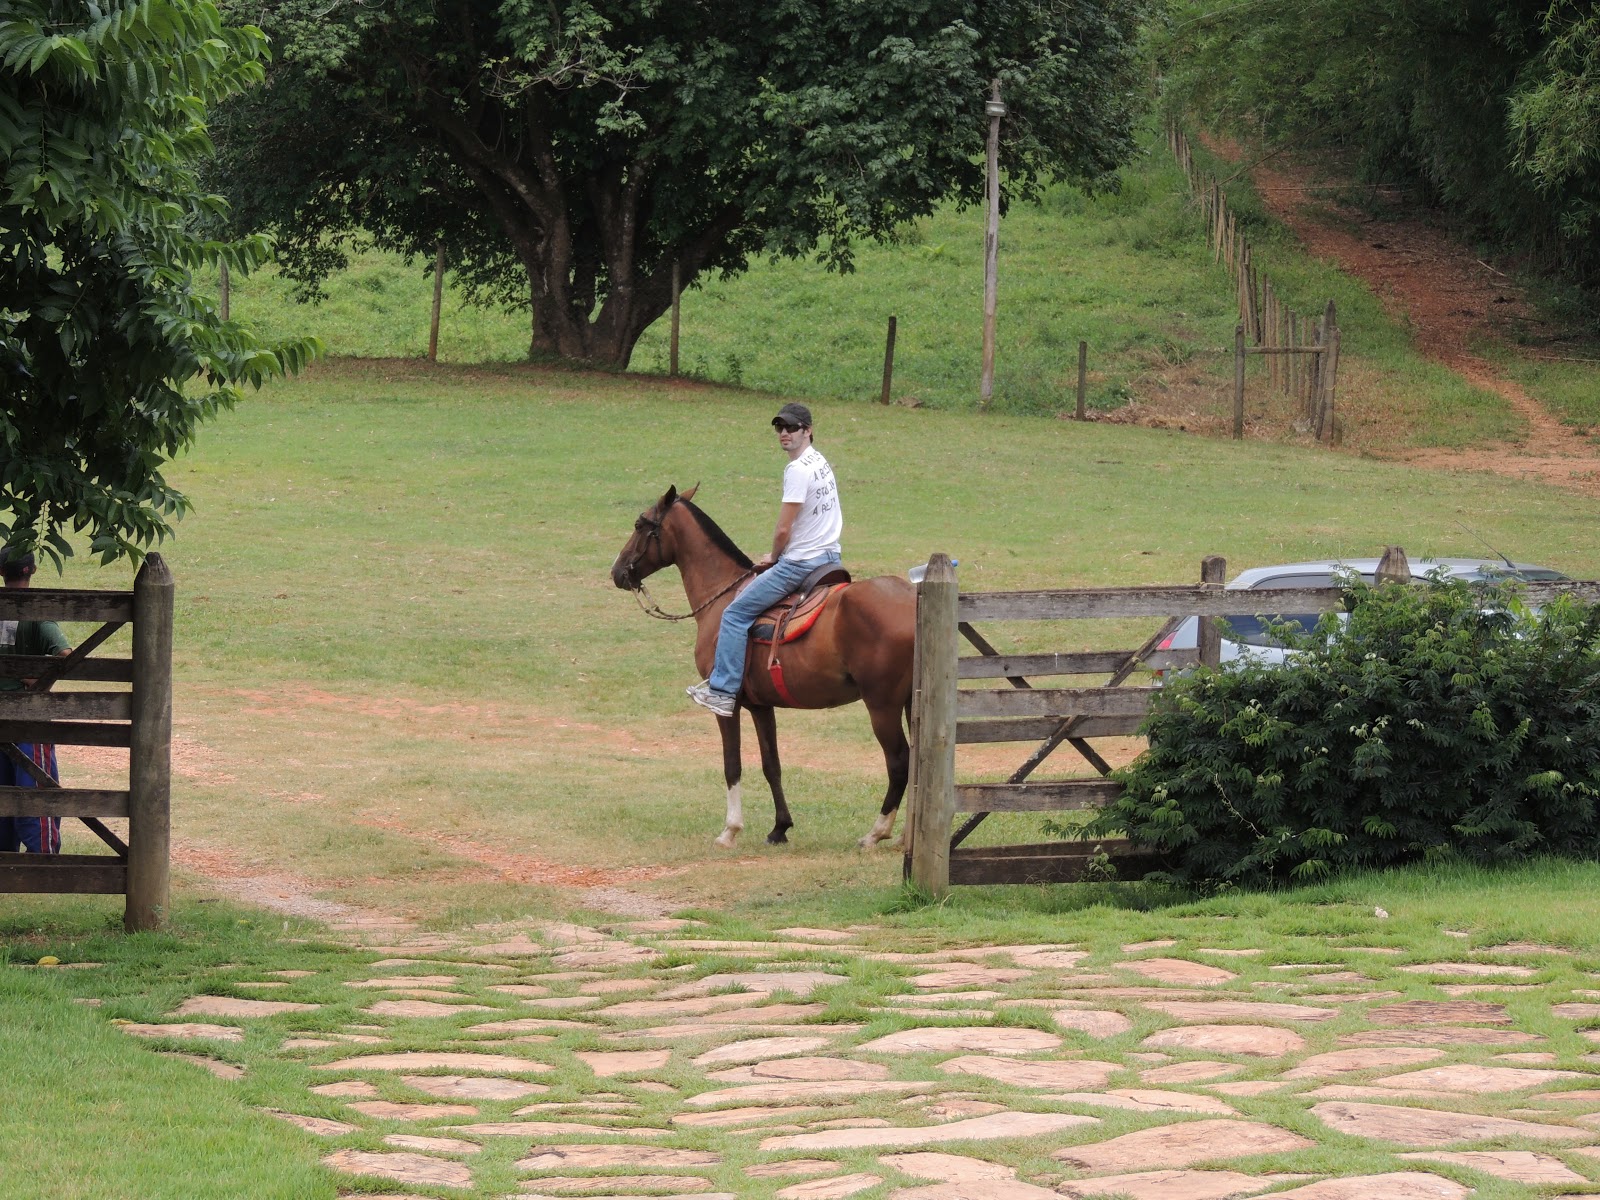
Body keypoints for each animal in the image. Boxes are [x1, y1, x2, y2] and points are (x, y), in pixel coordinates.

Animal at [608, 483, 915, 851]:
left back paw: (877, 832)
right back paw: (907, 836)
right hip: (912, 701)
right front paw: (780, 828)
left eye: (640, 524)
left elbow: (732, 764)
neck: (722, 596)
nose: (618, 572)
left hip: (882, 705)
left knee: (899, 761)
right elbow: (772, 765)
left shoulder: (727, 706)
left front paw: (730, 830)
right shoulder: (761, 706)